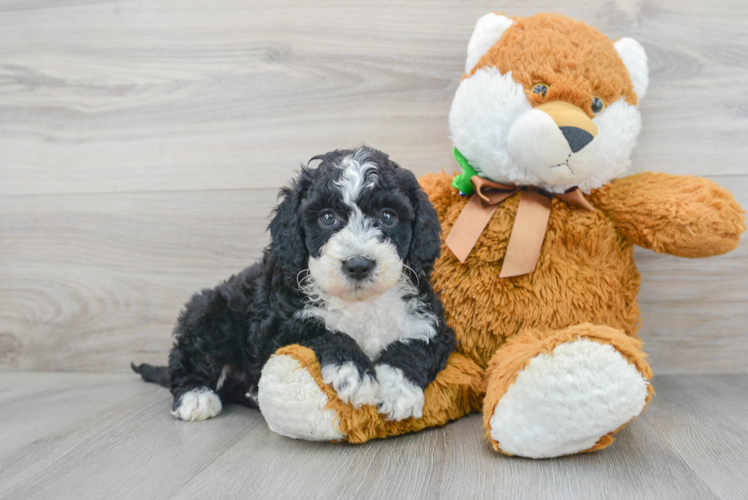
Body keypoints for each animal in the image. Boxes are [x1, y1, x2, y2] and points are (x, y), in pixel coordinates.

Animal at [131, 146, 452, 424]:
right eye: (327, 217)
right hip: (211, 313)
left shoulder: (433, 324)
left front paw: (397, 388)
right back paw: (195, 396)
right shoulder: (278, 327)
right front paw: (355, 371)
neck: (360, 303)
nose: (358, 264)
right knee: (188, 357)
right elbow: (322, 331)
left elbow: (415, 347)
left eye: (388, 216)